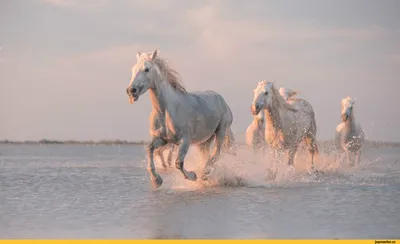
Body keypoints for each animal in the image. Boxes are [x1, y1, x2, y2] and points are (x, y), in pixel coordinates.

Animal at [123, 48, 233, 188]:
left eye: (147, 69)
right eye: (133, 69)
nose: (131, 90)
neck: (166, 111)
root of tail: (222, 100)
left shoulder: (184, 140)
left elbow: (178, 163)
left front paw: (193, 176)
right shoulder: (162, 139)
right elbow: (150, 149)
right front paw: (157, 180)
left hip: (221, 131)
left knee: (216, 153)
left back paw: (204, 174)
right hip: (204, 141)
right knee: (206, 155)